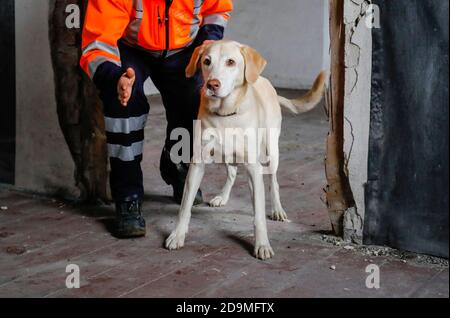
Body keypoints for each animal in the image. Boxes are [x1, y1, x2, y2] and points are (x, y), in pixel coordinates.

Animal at [164, 39, 324, 260]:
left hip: (271, 152)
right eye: (206, 61)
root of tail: (265, 81)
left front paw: (262, 244)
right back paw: (222, 197)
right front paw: (177, 235)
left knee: (273, 182)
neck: (226, 114)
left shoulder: (253, 168)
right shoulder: (197, 164)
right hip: (226, 156)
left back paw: (277, 209)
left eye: (231, 62)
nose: (212, 84)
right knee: (232, 173)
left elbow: (258, 214)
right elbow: (185, 206)